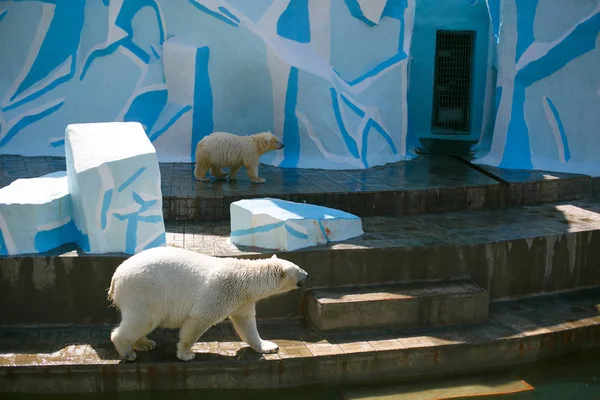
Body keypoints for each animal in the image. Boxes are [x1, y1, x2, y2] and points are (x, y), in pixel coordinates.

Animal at [106, 248, 310, 360]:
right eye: (299, 269)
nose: (307, 275)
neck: (245, 279)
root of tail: (115, 277)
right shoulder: (221, 291)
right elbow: (198, 320)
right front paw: (186, 354)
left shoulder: (242, 300)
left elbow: (246, 324)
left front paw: (269, 346)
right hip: (144, 292)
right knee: (143, 320)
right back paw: (127, 352)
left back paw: (145, 343)